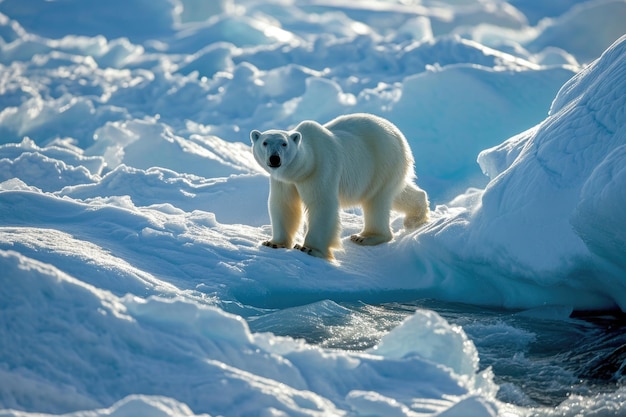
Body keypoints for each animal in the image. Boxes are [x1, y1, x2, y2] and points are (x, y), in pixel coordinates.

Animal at [251, 112, 426, 258]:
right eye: (265, 142)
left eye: (284, 144)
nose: (275, 159)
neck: (304, 167)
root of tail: (398, 134)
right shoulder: (284, 181)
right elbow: (284, 205)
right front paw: (273, 243)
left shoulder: (321, 169)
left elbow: (321, 204)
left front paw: (309, 248)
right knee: (398, 193)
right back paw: (416, 217)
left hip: (383, 162)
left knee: (377, 201)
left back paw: (365, 237)